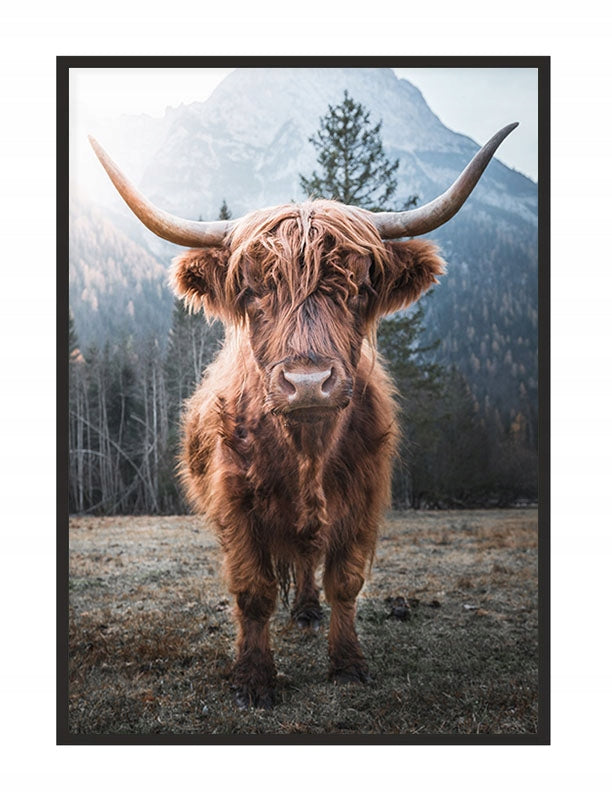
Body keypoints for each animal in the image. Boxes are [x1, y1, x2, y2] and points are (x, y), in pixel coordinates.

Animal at [90, 122, 517, 708]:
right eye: (252, 291)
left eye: (358, 288)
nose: (308, 382)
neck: (306, 451)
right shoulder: (235, 504)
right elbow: (253, 591)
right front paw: (253, 678)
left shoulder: (363, 499)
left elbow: (345, 581)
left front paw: (348, 663)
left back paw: (310, 612)